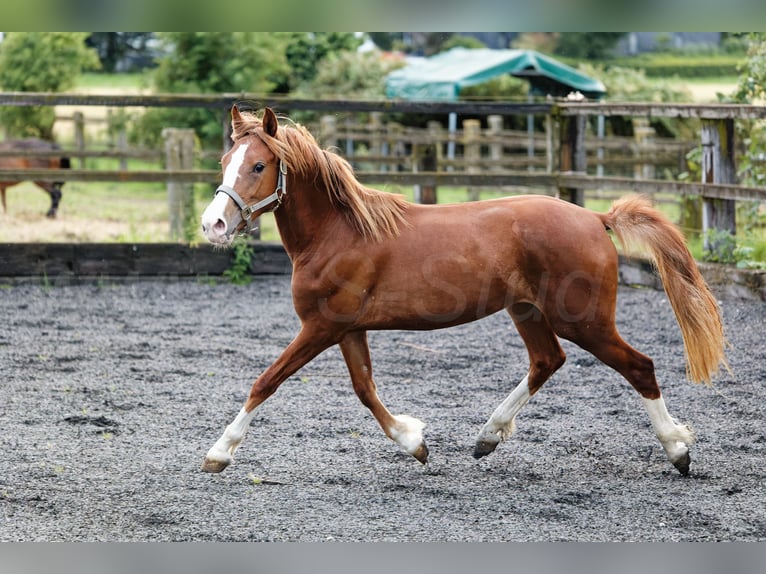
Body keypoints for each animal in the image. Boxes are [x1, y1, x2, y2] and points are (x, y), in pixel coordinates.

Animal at [198, 107, 728, 476]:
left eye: (259, 165)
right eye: (225, 161)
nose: (213, 224)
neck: (339, 233)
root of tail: (596, 217)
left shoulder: (321, 327)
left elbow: (266, 381)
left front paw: (218, 453)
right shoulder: (347, 329)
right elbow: (365, 390)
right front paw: (415, 442)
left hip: (585, 320)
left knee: (639, 366)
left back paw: (678, 450)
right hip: (528, 311)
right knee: (547, 361)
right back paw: (487, 437)